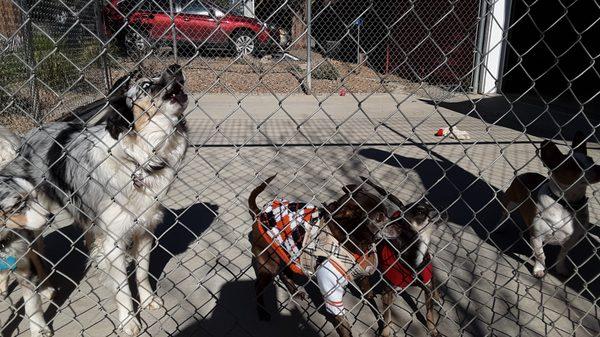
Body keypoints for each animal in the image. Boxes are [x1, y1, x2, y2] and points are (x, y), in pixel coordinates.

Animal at [0, 63, 188, 334]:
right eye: (146, 85)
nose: (175, 67)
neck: (139, 159)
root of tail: (26, 136)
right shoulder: (114, 239)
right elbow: (122, 289)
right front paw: (129, 321)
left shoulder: (145, 229)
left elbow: (142, 273)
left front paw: (148, 300)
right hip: (33, 218)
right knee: (34, 253)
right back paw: (41, 288)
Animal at [248, 175, 394, 336]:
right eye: (379, 218)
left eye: (388, 213)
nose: (397, 224)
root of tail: (259, 213)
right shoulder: (332, 291)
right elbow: (343, 323)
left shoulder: (364, 281)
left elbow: (372, 300)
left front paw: (383, 325)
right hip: (269, 264)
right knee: (258, 286)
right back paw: (262, 311)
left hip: (287, 254)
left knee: (285, 273)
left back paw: (295, 292)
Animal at [502, 133, 600, 276]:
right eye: (572, 166)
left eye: (591, 160)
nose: (599, 168)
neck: (566, 203)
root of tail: (525, 174)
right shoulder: (537, 237)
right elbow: (541, 256)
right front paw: (539, 269)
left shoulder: (571, 241)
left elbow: (562, 256)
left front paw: (560, 269)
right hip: (510, 203)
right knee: (504, 215)